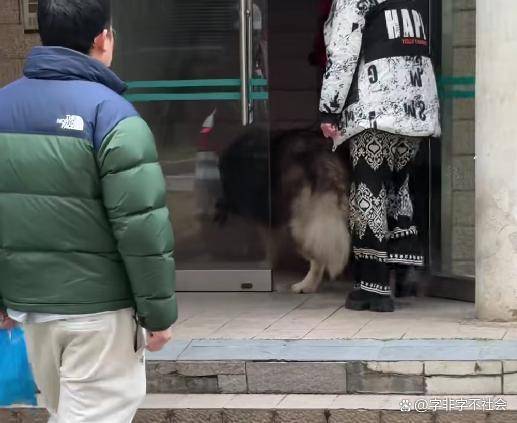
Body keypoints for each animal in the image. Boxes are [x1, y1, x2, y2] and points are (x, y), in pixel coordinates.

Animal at [216, 128, 351, 294]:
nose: (220, 208)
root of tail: (320, 154)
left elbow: (269, 241)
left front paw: (267, 264)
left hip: (302, 218)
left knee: (316, 256)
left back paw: (306, 285)